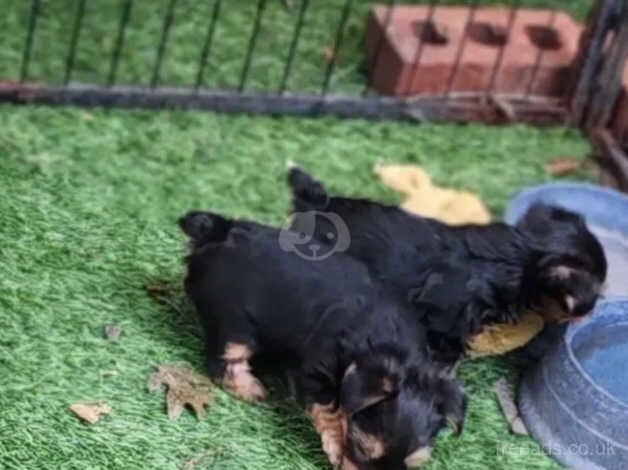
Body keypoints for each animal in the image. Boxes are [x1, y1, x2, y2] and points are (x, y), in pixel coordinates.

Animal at [179, 212, 464, 470]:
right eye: (361, 450)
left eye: (411, 466)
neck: (392, 345)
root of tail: (218, 233)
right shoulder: (315, 368)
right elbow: (329, 407)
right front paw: (336, 445)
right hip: (235, 324)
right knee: (224, 359)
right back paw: (250, 387)